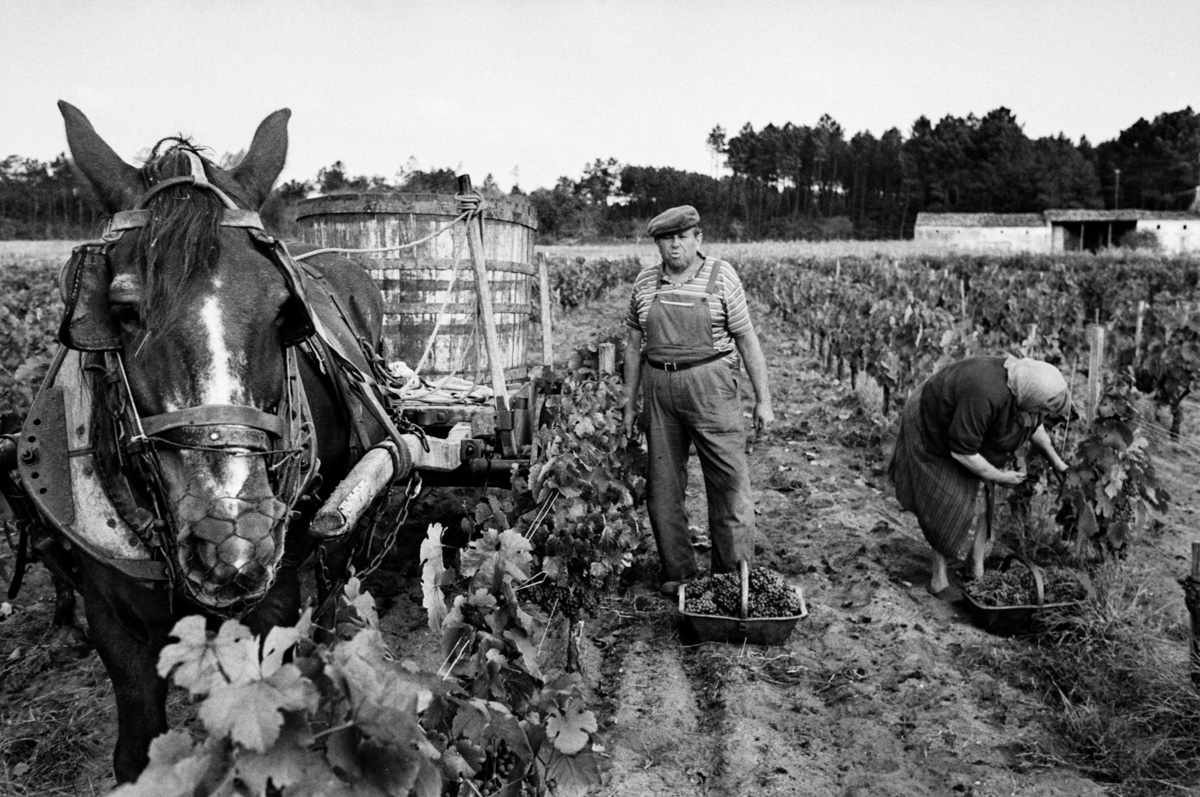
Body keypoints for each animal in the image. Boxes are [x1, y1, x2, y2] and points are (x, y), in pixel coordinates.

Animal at [14, 102, 408, 782]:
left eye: (284, 311)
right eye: (121, 311)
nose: (233, 541)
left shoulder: (273, 602)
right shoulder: (113, 618)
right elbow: (137, 752)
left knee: (339, 576)